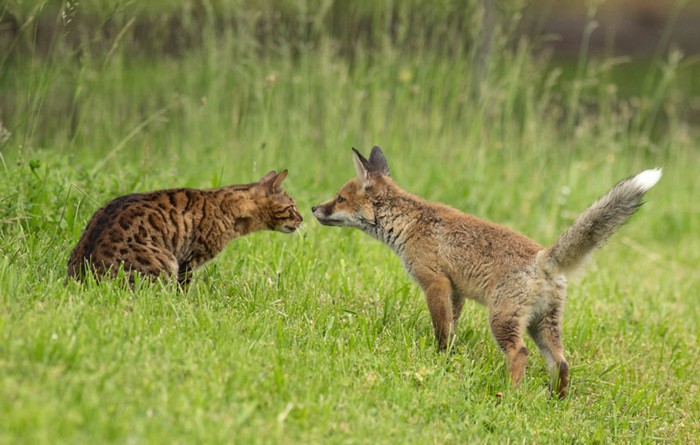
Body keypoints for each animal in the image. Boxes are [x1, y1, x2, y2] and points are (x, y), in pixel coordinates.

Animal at [66, 168, 304, 286]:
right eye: (292, 206)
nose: (302, 218)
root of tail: (82, 279)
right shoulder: (189, 259)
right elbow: (184, 287)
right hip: (165, 262)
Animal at [312, 147, 660, 398]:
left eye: (340, 198)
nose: (315, 208)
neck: (410, 224)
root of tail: (543, 257)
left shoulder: (435, 282)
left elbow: (442, 329)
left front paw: (441, 359)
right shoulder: (455, 291)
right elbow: (451, 327)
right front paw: (449, 357)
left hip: (502, 319)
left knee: (520, 354)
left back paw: (510, 396)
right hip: (542, 326)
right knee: (561, 363)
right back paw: (556, 401)